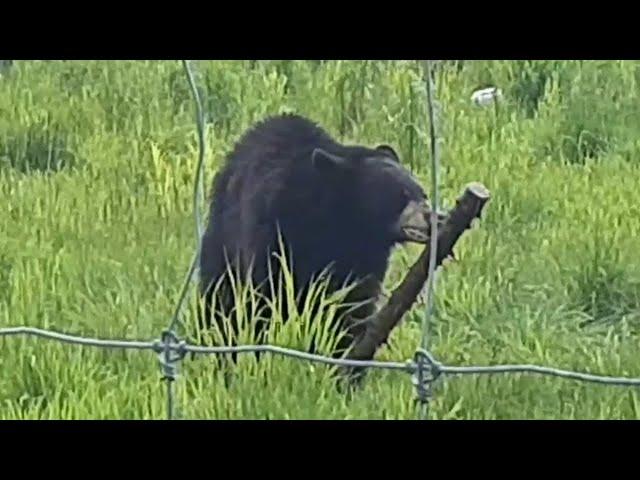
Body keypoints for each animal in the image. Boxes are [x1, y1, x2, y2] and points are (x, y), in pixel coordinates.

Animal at [200, 112, 440, 360]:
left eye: (422, 193)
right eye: (401, 196)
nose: (432, 218)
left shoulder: (364, 263)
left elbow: (351, 308)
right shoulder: (273, 235)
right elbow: (265, 298)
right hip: (222, 243)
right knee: (221, 299)